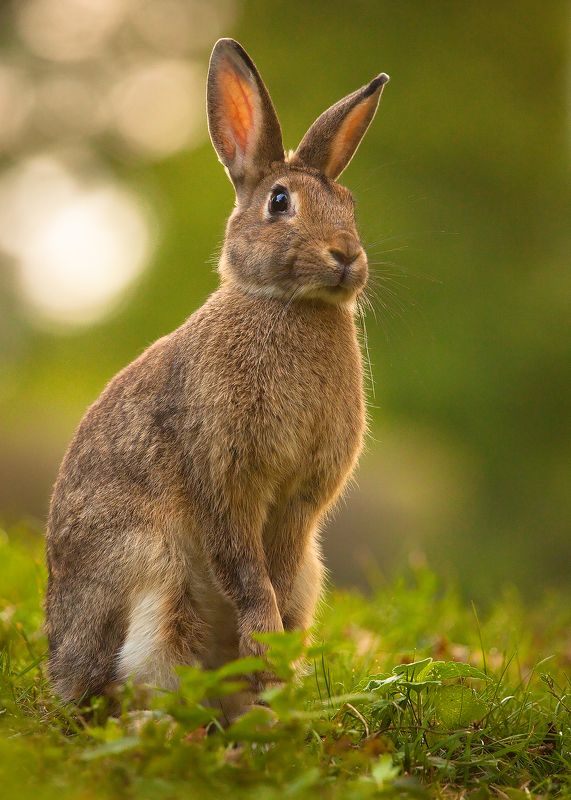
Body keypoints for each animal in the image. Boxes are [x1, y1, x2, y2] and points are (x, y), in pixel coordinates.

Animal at [45, 38, 389, 718]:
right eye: (280, 203)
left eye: (351, 205)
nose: (346, 256)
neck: (290, 305)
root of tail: (63, 670)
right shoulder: (225, 476)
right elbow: (244, 568)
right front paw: (264, 634)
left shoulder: (298, 503)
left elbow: (275, 570)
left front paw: (271, 650)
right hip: (155, 572)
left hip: (306, 577)